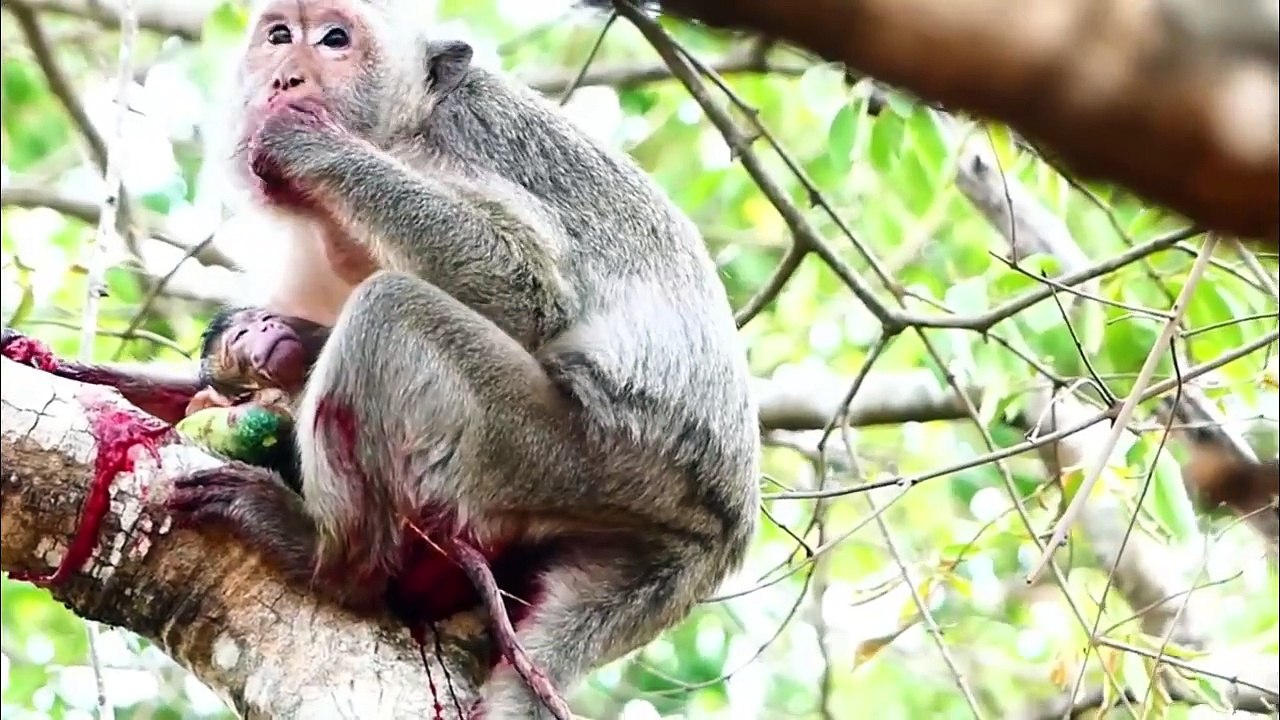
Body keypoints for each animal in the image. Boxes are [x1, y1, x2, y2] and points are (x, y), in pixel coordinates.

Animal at [4, 0, 762, 717]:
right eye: (279, 36)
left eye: (335, 39)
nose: (285, 78)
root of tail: (722, 525)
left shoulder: (447, 150)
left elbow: (527, 291)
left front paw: (310, 145)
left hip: (582, 456)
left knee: (391, 309)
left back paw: (333, 561)